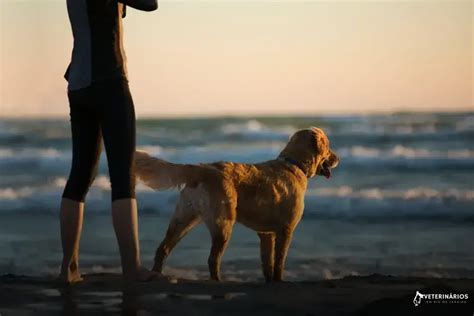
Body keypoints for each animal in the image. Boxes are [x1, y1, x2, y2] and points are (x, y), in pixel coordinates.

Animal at [135, 127, 338, 282]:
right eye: (328, 146)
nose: (338, 158)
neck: (294, 164)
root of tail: (203, 168)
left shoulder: (266, 234)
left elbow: (268, 263)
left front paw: (270, 281)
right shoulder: (285, 230)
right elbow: (279, 262)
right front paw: (279, 281)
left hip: (183, 218)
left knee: (163, 249)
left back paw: (157, 275)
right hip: (223, 223)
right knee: (212, 259)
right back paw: (217, 282)